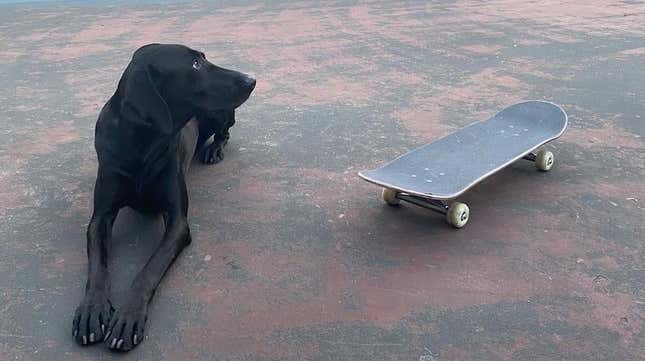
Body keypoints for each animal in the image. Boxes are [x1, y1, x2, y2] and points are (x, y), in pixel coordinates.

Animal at [74, 43, 255, 348]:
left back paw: (214, 149)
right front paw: (92, 308)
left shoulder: (178, 223)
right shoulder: (100, 217)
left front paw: (128, 316)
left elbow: (148, 270)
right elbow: (98, 265)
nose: (251, 79)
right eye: (195, 64)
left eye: (202, 58)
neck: (141, 142)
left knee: (225, 133)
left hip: (218, 113)